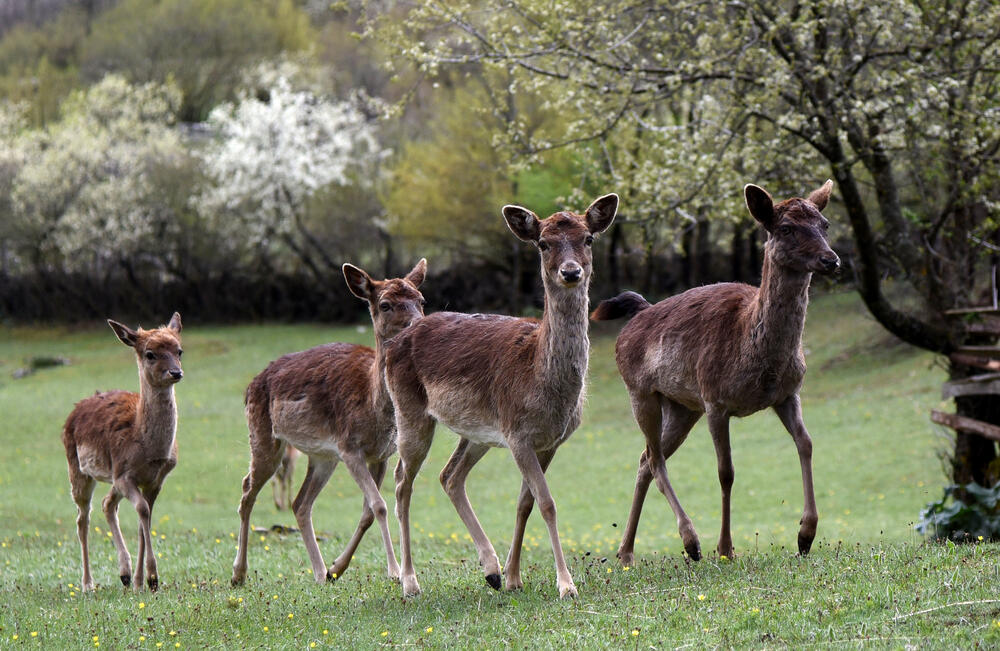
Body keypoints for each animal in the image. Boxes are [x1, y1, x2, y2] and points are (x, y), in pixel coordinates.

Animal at [62, 314, 186, 592]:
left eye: (179, 350)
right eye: (150, 354)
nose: (176, 372)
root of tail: (75, 410)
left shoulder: (156, 479)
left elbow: (144, 519)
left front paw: (142, 581)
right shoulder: (124, 474)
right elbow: (142, 510)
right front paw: (152, 577)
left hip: (111, 477)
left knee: (107, 504)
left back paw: (125, 574)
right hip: (78, 469)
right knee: (82, 519)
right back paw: (88, 584)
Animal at [232, 258, 428, 584]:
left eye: (421, 300)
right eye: (385, 304)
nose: (418, 326)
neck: (372, 405)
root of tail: (251, 385)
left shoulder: (382, 454)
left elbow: (367, 511)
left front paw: (338, 567)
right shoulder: (349, 447)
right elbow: (379, 505)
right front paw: (395, 571)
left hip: (322, 456)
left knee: (300, 503)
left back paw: (320, 571)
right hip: (263, 436)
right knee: (248, 489)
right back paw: (239, 573)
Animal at [388, 195, 616, 600]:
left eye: (588, 238)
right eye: (543, 243)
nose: (571, 272)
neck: (540, 379)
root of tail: (392, 343)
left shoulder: (549, 441)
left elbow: (526, 503)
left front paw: (513, 577)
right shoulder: (517, 433)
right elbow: (548, 503)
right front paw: (566, 585)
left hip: (477, 432)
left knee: (449, 476)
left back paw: (491, 570)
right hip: (409, 412)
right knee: (402, 481)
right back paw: (410, 582)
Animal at [588, 182, 840, 564]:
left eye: (824, 224)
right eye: (785, 228)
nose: (832, 259)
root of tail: (639, 312)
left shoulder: (788, 393)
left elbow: (806, 443)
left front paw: (805, 535)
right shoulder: (716, 399)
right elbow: (726, 472)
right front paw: (725, 548)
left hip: (682, 407)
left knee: (645, 459)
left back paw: (626, 552)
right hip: (640, 392)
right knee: (655, 460)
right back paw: (690, 542)